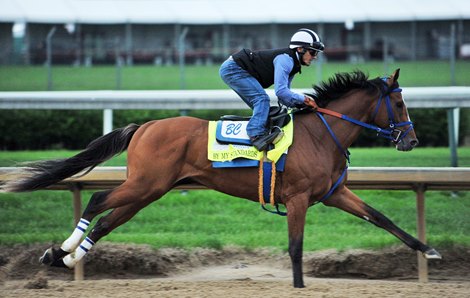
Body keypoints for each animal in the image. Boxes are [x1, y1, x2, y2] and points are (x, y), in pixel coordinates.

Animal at [0, 68, 440, 288]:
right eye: (400, 102)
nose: (412, 140)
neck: (322, 133)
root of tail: (144, 126)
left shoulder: (334, 193)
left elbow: (382, 218)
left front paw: (429, 251)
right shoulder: (298, 198)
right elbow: (296, 246)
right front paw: (299, 285)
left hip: (149, 191)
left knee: (108, 221)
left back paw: (66, 256)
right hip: (145, 184)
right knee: (95, 202)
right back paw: (62, 251)